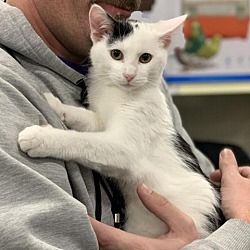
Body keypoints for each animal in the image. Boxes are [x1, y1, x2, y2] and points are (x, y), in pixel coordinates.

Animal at [18, 4, 222, 237]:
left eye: (145, 58)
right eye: (116, 54)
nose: (129, 75)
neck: (119, 93)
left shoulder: (123, 146)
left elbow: (82, 141)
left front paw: (39, 137)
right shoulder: (100, 120)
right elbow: (88, 120)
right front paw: (56, 104)